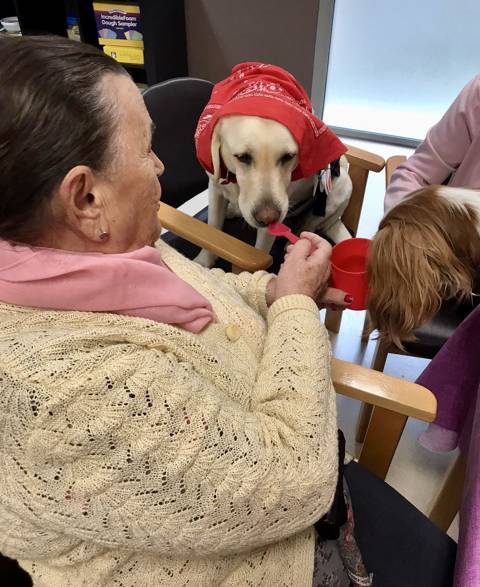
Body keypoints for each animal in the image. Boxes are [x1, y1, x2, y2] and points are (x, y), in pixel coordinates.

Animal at [194, 116, 352, 268]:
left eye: (288, 156)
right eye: (242, 157)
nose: (268, 218)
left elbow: (259, 252)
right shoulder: (215, 189)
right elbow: (212, 228)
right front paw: (203, 262)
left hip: (341, 188)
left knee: (310, 224)